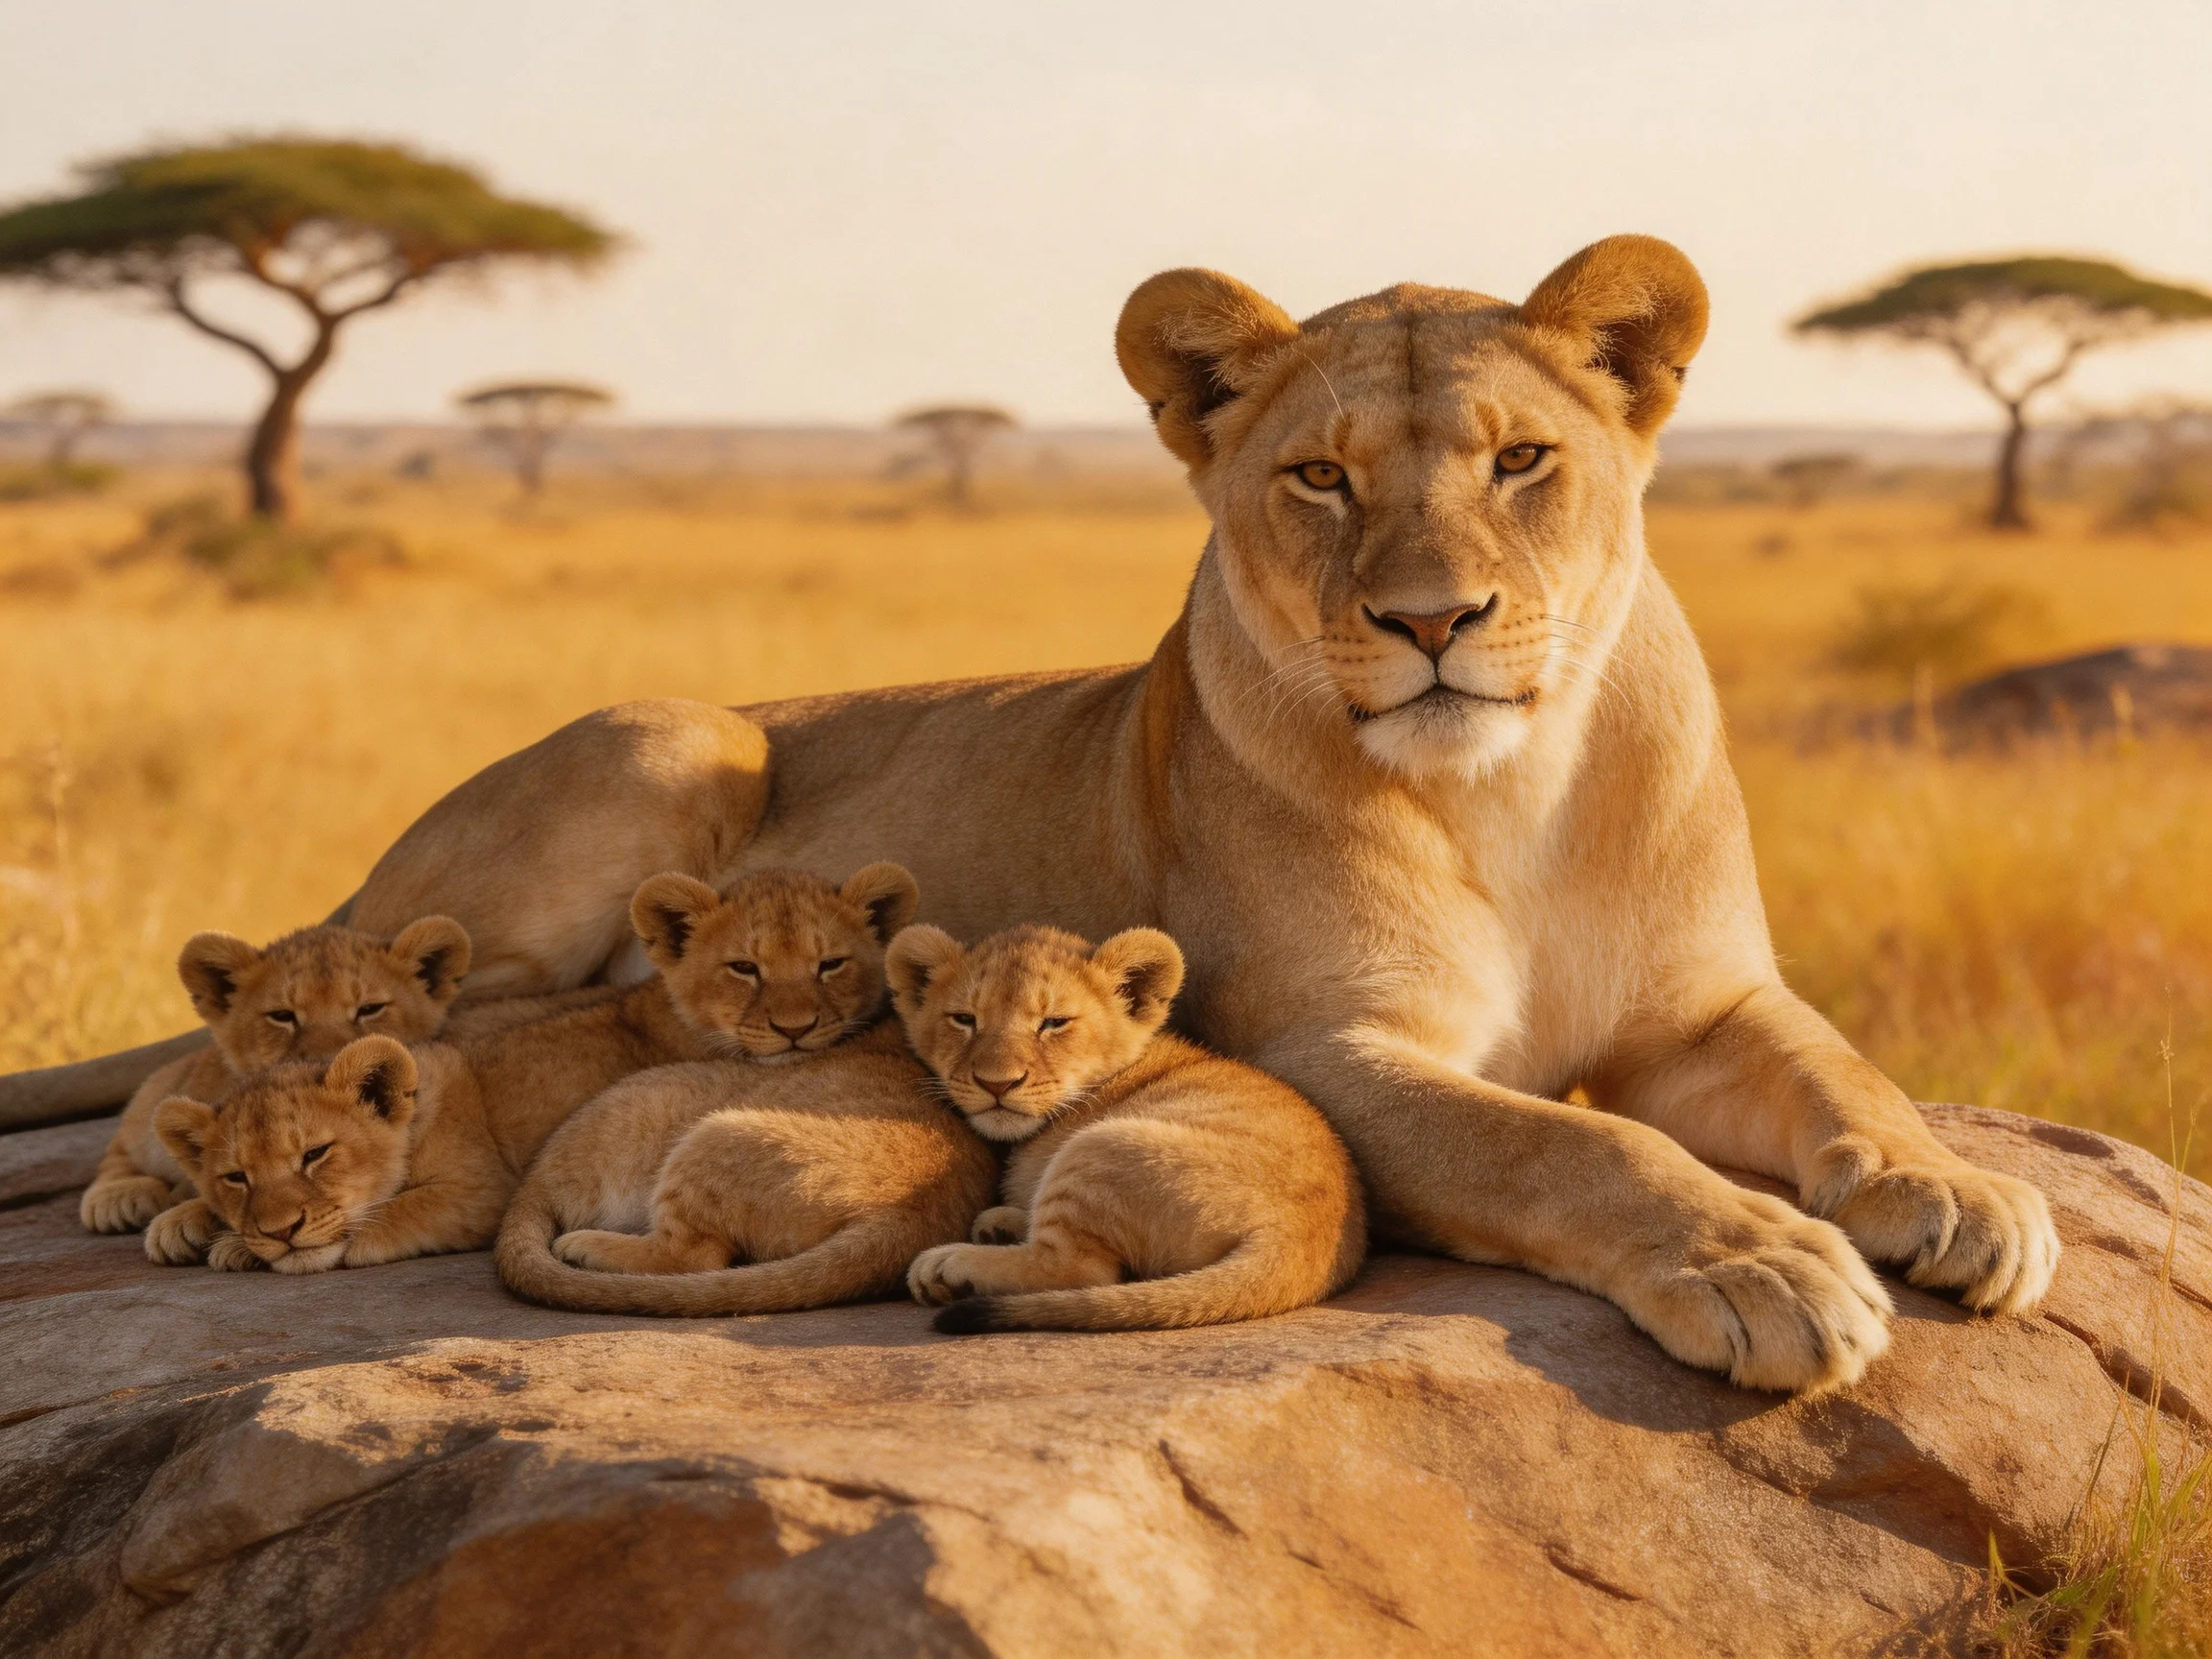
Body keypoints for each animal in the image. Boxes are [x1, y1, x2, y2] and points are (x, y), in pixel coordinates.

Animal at [145, 865, 916, 1270]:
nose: (795, 1028)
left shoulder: (480, 1189)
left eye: (830, 965)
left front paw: (252, 1245)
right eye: (744, 969)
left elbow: (384, 1218)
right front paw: (192, 1221)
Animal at [495, 865, 996, 1316]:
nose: (794, 1029)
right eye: (744, 969)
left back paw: (585, 1246)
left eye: (829, 966)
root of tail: (912, 1211)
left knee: (692, 1257)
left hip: (701, 1132)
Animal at [890, 922, 1365, 1333]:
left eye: (1054, 1022)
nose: (997, 1083)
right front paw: (1003, 1218)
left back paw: (950, 1266)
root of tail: (1301, 1240)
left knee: (1079, 1270)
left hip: (1098, 1150)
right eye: (964, 1019)